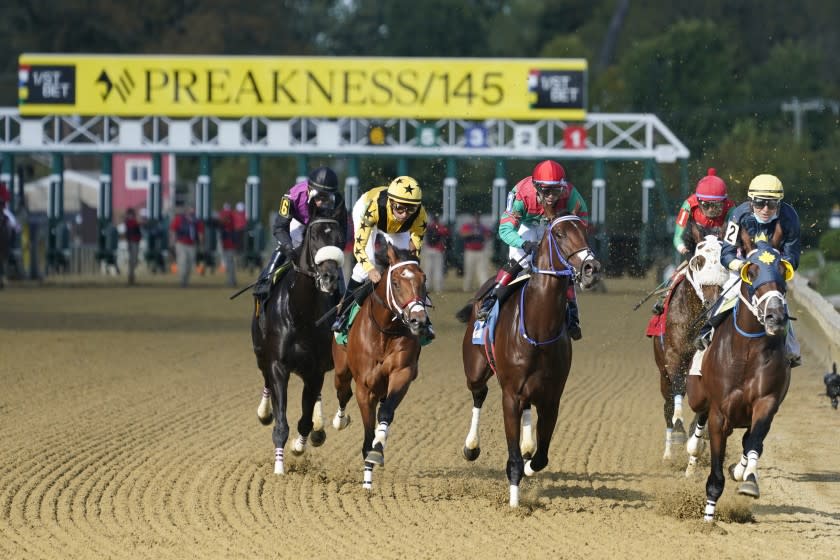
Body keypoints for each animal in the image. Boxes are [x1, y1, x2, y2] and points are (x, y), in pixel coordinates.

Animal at [249, 214, 344, 472]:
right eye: (314, 236)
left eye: (339, 238)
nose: (329, 278)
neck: (301, 314)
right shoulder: (278, 366)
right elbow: (281, 423)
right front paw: (279, 469)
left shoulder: (315, 370)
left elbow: (305, 420)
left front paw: (299, 445)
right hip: (261, 353)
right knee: (265, 380)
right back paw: (263, 412)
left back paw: (319, 427)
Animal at [330, 243, 430, 488]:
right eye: (395, 283)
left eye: (423, 280)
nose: (419, 321)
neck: (385, 331)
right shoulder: (364, 387)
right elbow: (367, 434)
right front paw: (367, 480)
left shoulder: (402, 373)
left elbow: (385, 413)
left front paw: (379, 445)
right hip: (342, 371)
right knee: (342, 392)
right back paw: (340, 420)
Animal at [456, 211, 600, 508]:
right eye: (560, 234)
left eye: (585, 231)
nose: (591, 267)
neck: (539, 327)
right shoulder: (510, 395)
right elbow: (513, 460)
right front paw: (514, 503)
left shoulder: (552, 397)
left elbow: (541, 458)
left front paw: (530, 461)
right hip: (475, 369)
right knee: (479, 393)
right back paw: (471, 446)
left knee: (525, 411)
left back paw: (527, 446)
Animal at [648, 222, 728, 460]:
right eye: (697, 261)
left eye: (724, 260)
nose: (713, 302)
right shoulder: (675, 356)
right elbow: (678, 389)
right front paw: (679, 432)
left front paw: (699, 435)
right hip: (661, 369)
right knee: (668, 402)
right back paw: (668, 451)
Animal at [684, 228, 796, 520]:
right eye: (752, 271)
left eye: (783, 270)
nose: (775, 316)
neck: (747, 352)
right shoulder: (720, 413)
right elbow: (715, 471)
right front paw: (708, 517)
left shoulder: (766, 402)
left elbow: (754, 442)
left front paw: (749, 480)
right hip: (697, 395)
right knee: (700, 414)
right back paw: (693, 449)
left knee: (748, 440)